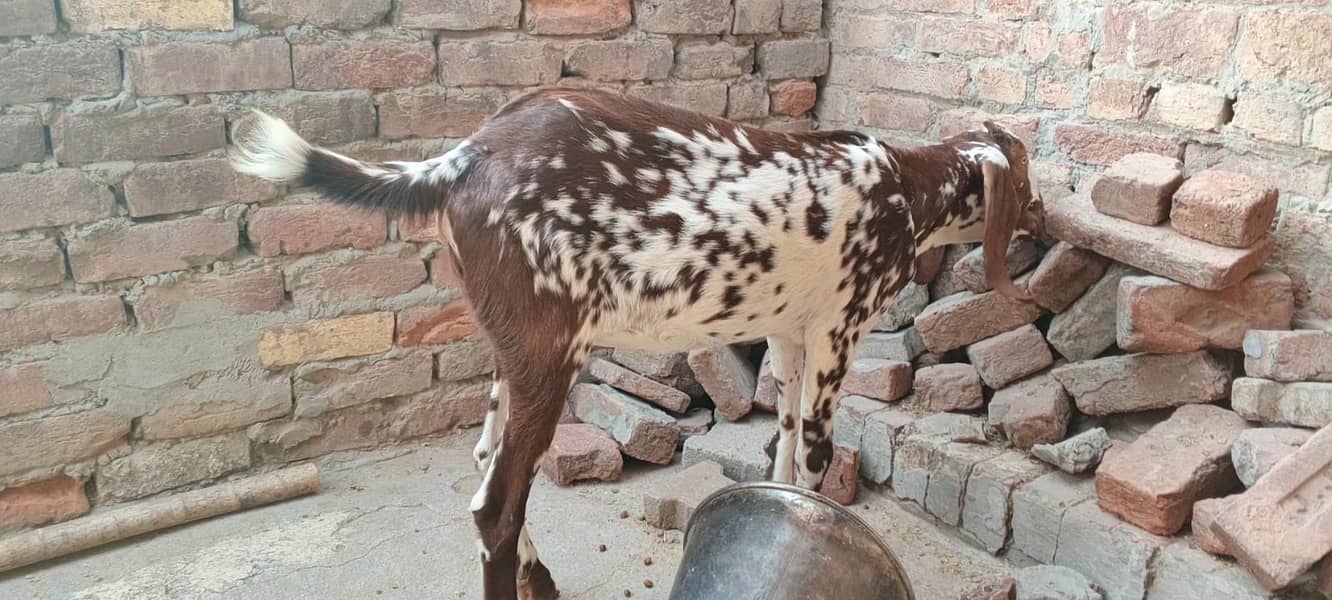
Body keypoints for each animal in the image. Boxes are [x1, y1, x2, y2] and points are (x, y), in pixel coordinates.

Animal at [230, 87, 1047, 600]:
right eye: (1027, 172)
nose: (1043, 217)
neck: (904, 189)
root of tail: (462, 159)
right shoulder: (837, 334)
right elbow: (814, 470)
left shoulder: (789, 336)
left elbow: (782, 461)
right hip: (549, 356)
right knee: (497, 505)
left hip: (511, 353)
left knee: (485, 464)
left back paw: (540, 578)